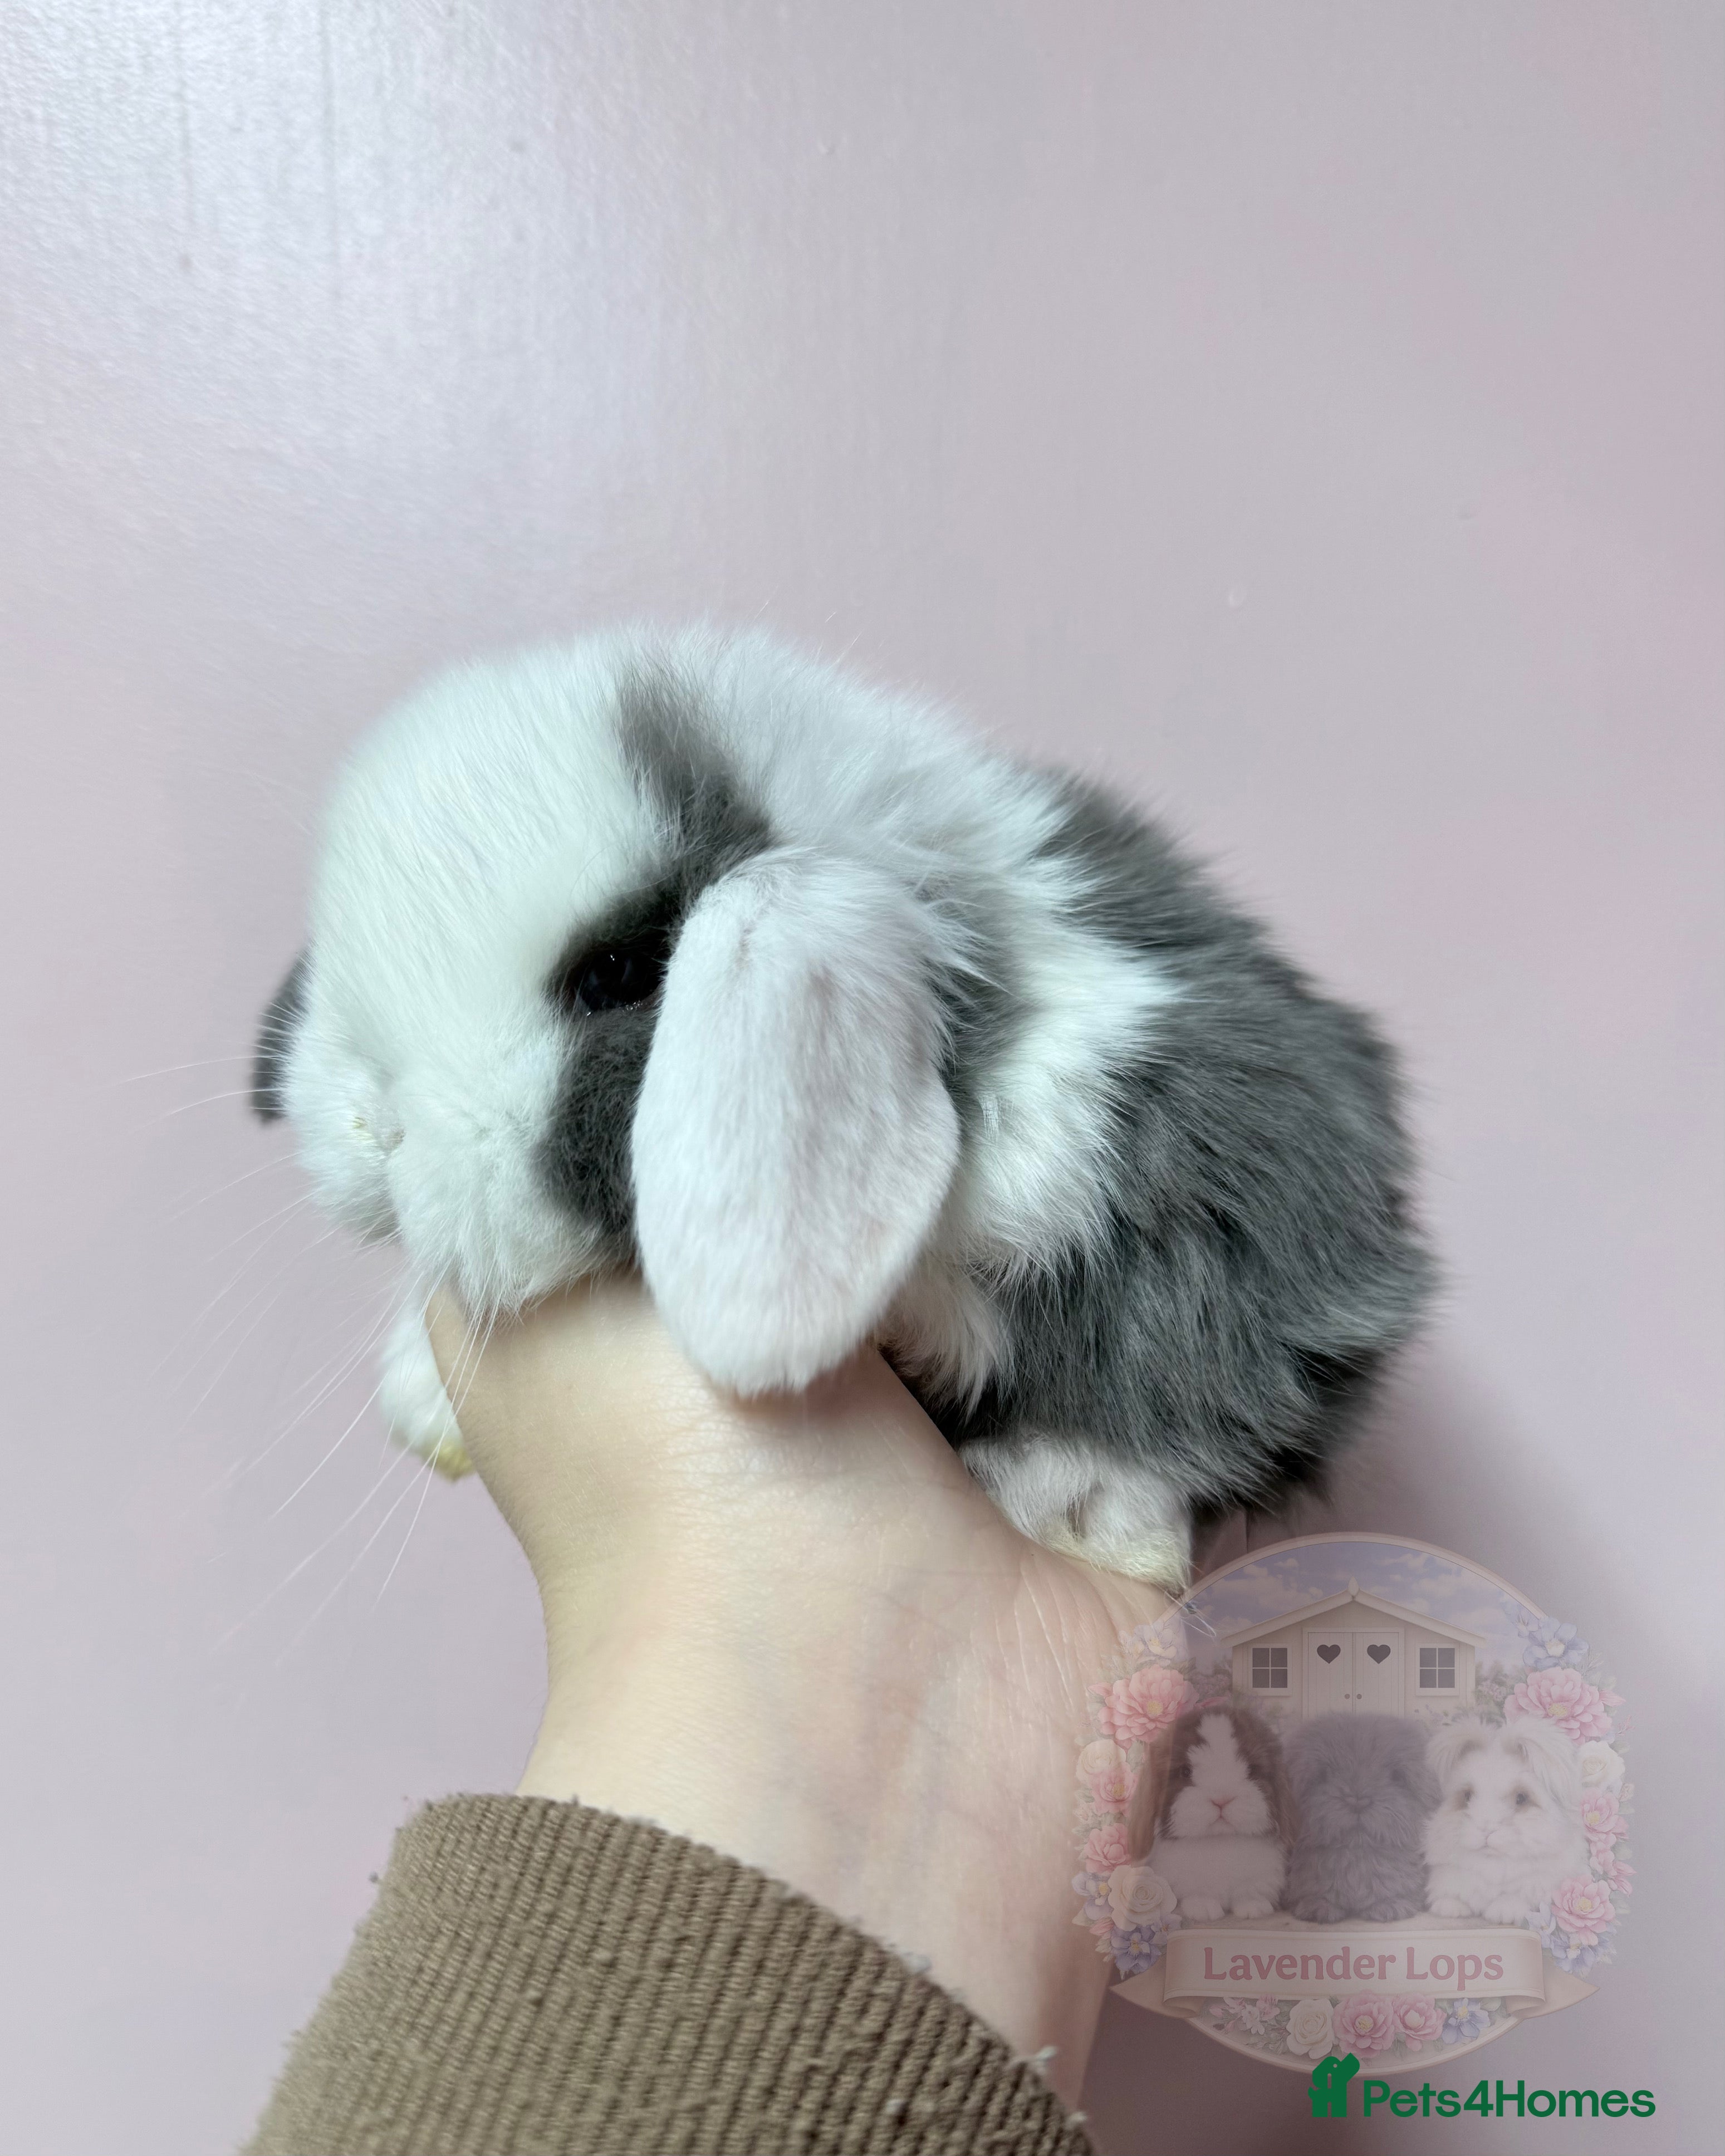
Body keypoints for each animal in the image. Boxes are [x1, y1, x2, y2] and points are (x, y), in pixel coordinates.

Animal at [1124, 1701, 1297, 1920]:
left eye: (1252, 1770)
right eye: (1186, 1771)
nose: (1222, 1799)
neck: (1220, 1842)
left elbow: (1249, 1894)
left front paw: (1254, 1909)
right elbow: (1197, 1896)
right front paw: (1204, 1909)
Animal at [1283, 1713, 1441, 1923]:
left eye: (1397, 1776)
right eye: (1322, 1776)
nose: (1358, 1801)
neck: (1357, 1860)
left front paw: (1391, 1907)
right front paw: (1318, 1907)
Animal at [1423, 1716, 1590, 1925]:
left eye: (1521, 1798)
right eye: (1467, 1796)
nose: (1486, 1829)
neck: (1493, 1863)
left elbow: (1516, 1897)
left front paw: (1503, 1913)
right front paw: (1450, 1909)